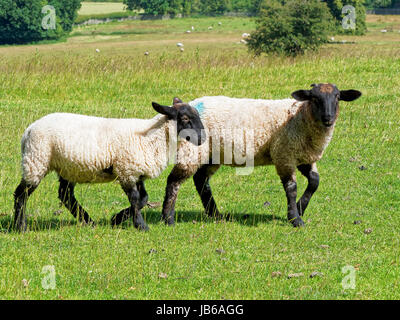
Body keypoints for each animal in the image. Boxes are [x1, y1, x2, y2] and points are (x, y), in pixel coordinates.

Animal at [12, 97, 206, 232]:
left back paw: (88, 221)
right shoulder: (126, 170)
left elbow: (143, 199)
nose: (203, 138)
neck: (153, 138)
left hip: (67, 167)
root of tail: (28, 130)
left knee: (65, 195)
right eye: (185, 118)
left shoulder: (137, 172)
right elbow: (135, 198)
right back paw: (20, 227)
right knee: (21, 194)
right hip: (36, 160)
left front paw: (116, 219)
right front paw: (141, 225)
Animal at [159, 83, 362, 228]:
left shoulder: (304, 156)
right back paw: (167, 217)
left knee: (201, 180)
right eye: (314, 98)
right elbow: (291, 188)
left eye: (337, 97)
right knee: (174, 181)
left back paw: (215, 214)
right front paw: (295, 219)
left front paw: (300, 208)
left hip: (211, 154)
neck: (299, 117)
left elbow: (314, 182)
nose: (328, 118)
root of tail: (185, 105)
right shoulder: (284, 154)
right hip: (191, 150)